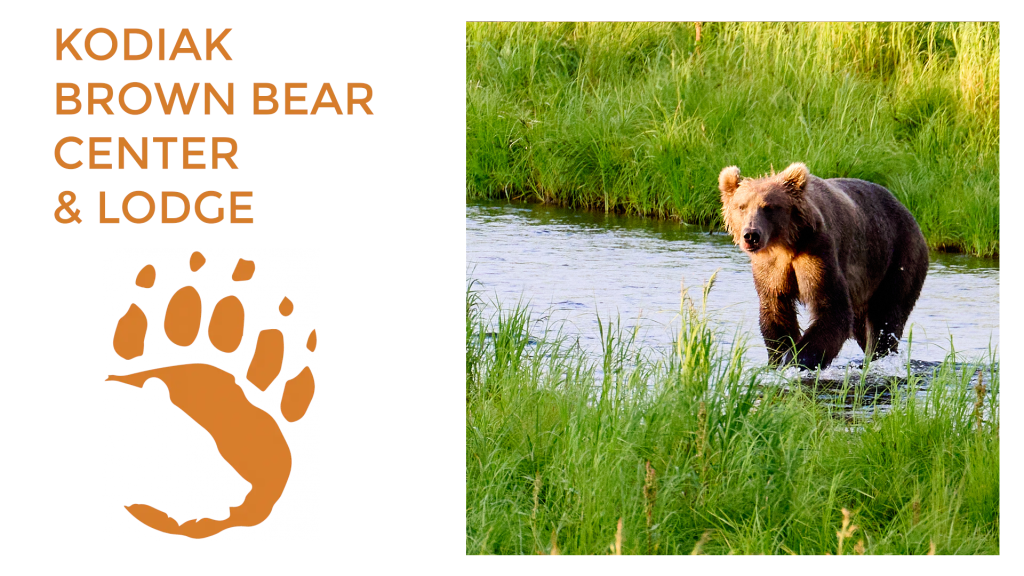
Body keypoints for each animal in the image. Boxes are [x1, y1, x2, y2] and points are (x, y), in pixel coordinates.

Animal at [718, 162, 929, 370]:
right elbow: (776, 310)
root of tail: (909, 214)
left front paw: (796, 359)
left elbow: (832, 309)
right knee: (863, 324)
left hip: (897, 258)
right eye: (741, 206)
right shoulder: (771, 268)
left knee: (886, 315)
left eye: (768, 207)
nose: (751, 235)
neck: (786, 245)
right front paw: (779, 357)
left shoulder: (817, 252)